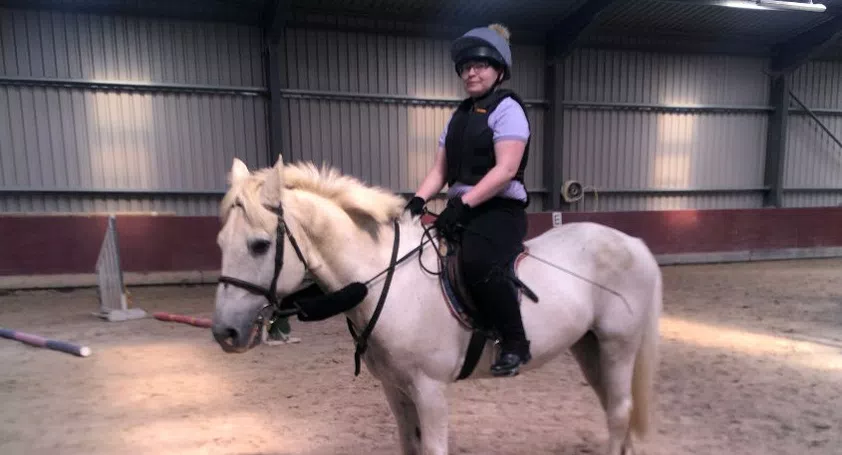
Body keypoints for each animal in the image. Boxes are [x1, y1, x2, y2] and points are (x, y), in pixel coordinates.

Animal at [211, 155, 663, 455]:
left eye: (259, 245)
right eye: (219, 243)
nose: (224, 332)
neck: (389, 282)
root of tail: (634, 242)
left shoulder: (429, 391)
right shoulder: (395, 389)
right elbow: (408, 446)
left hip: (618, 345)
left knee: (619, 410)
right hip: (589, 346)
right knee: (613, 408)